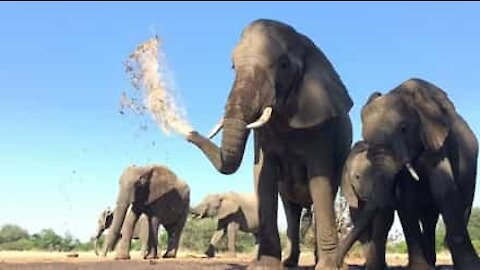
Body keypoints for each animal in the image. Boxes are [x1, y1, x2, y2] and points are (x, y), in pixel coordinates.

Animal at [187, 17, 352, 268]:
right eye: (233, 67)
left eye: (283, 64)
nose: (189, 133)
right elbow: (262, 175)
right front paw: (263, 265)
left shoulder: (321, 128)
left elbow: (319, 181)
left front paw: (328, 267)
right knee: (291, 210)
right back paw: (289, 263)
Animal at [338, 141, 438, 270]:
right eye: (357, 177)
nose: (338, 264)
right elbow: (360, 224)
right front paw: (370, 265)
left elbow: (382, 221)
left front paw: (375, 267)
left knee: (429, 219)